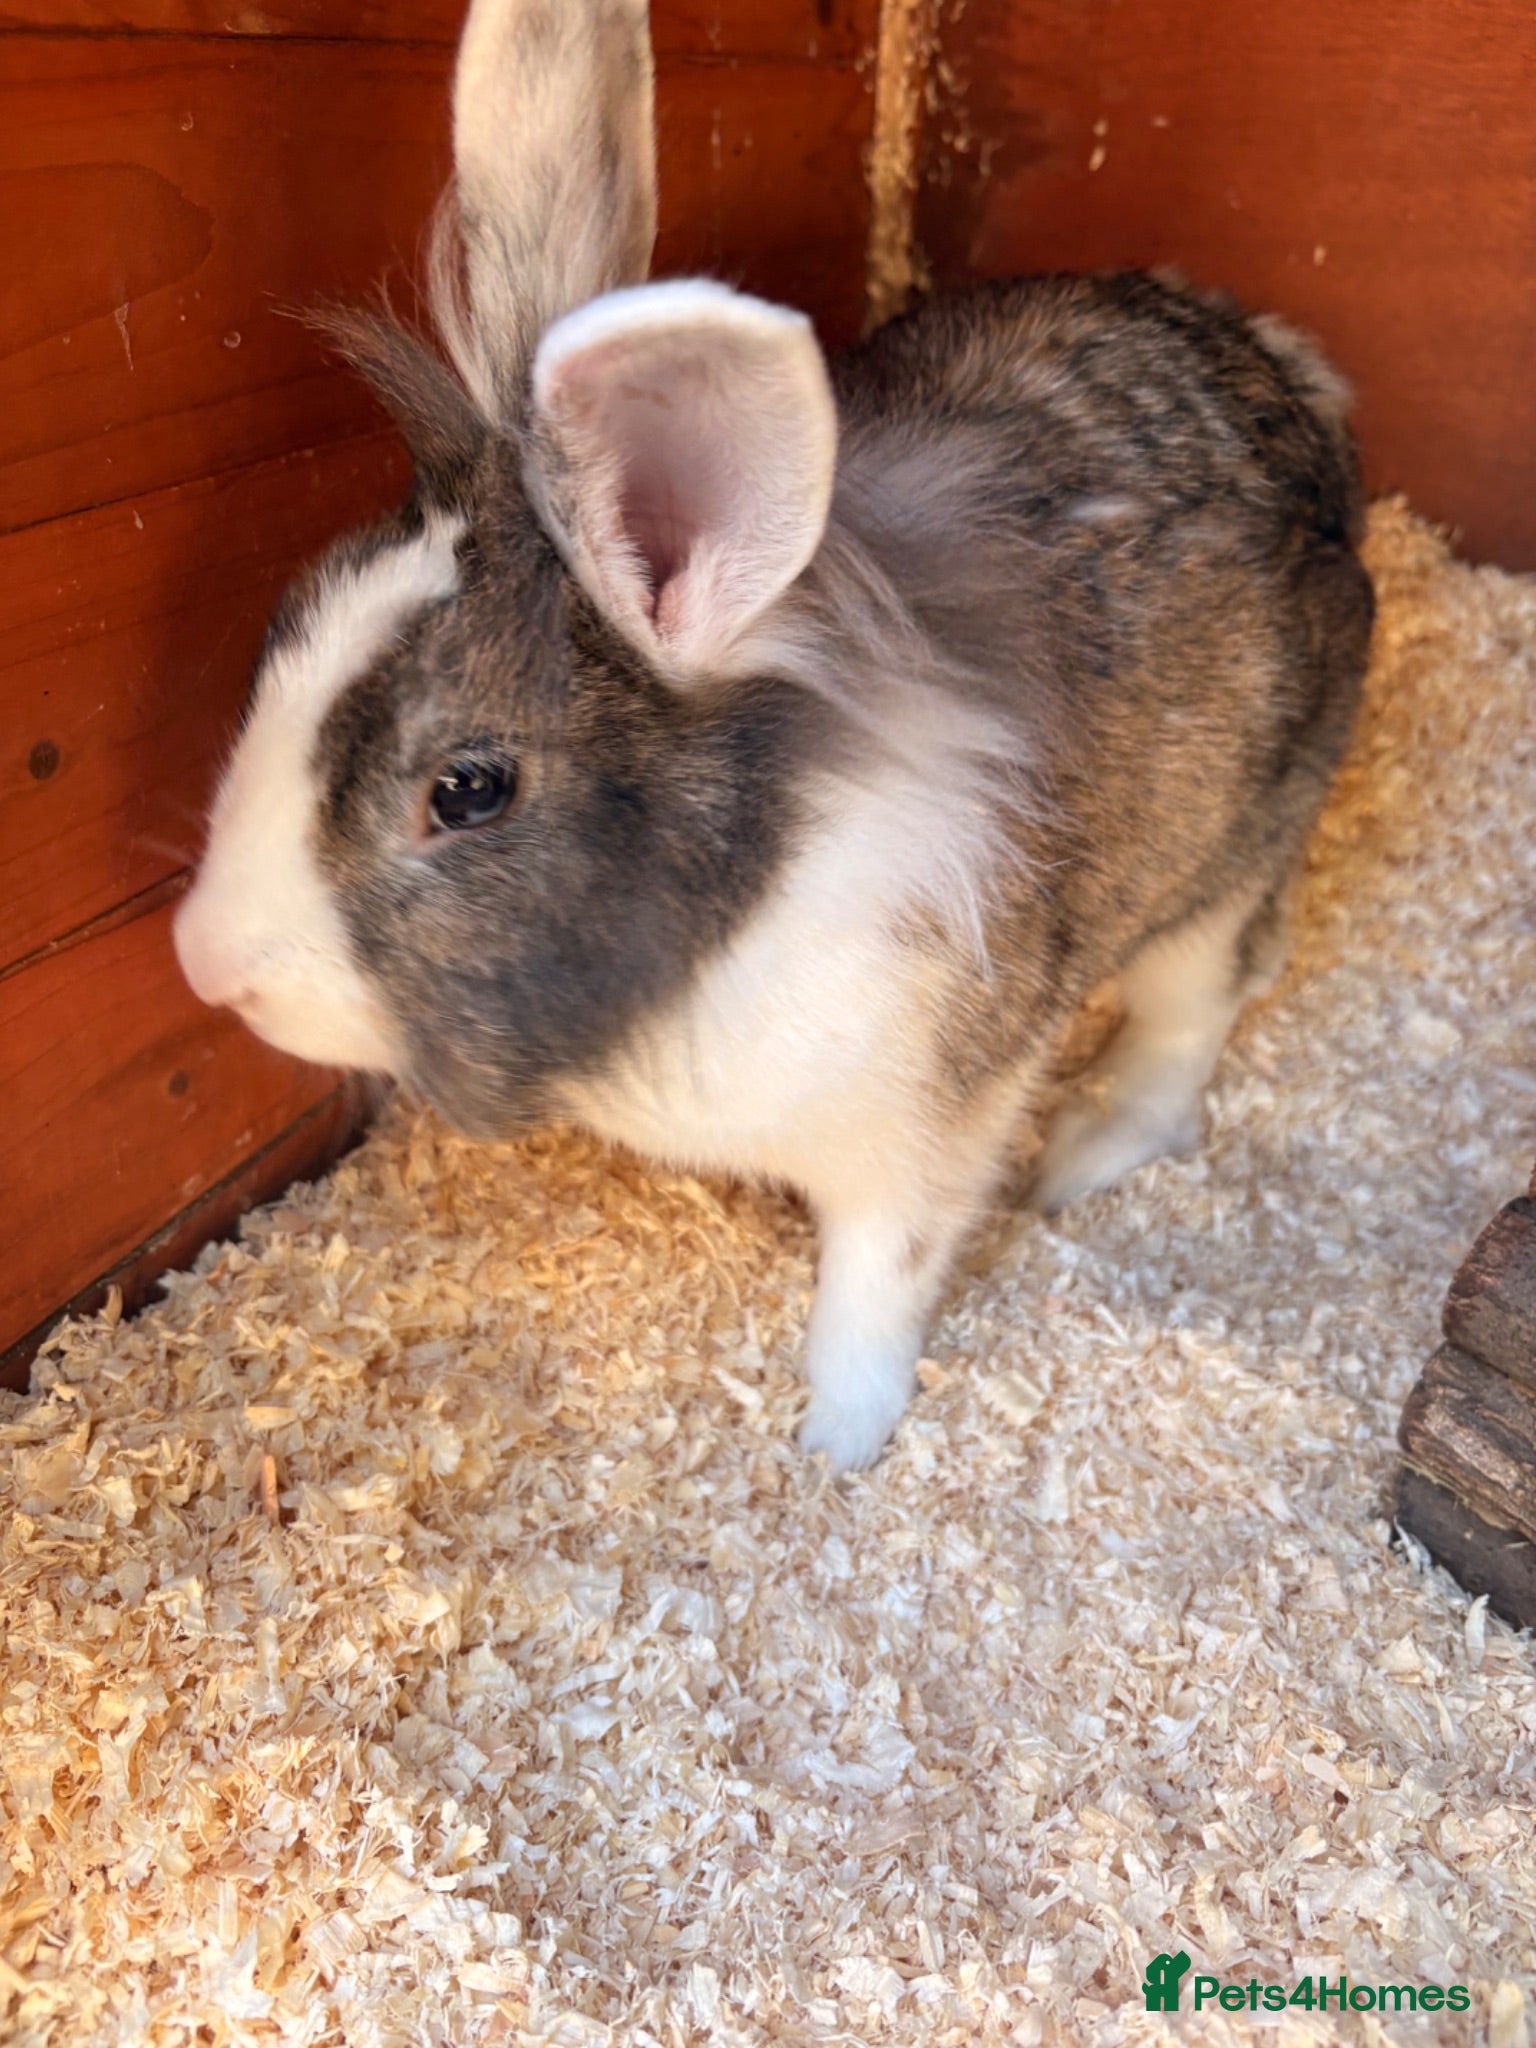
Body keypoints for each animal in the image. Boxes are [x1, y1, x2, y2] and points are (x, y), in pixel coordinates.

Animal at [173, 0, 1374, 1472]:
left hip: (1228, 866)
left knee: (1199, 1011)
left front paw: (835, 1448)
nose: (207, 961)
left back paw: (1081, 1154)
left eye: (467, 789)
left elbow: (878, 1287)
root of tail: (1289, 376)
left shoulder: (925, 1131)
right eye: (288, 622)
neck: (750, 878)